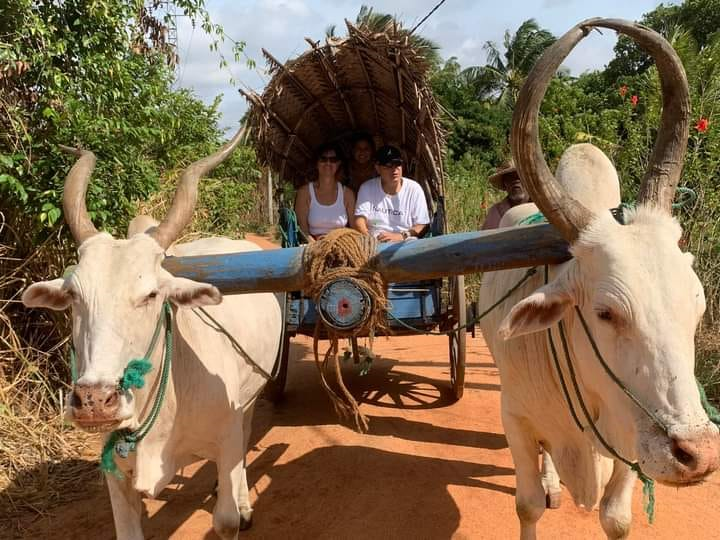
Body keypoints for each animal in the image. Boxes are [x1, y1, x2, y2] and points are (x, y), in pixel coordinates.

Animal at [21, 127, 283, 540]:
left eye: (151, 294)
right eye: (74, 294)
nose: (95, 401)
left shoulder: (225, 433)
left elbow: (226, 516)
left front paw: (237, 507)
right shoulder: (115, 473)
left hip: (250, 396)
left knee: (244, 436)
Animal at [478, 19, 720, 540]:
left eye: (697, 307)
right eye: (606, 313)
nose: (698, 456)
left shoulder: (629, 438)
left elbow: (617, 517)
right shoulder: (515, 418)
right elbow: (526, 504)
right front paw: (540, 496)